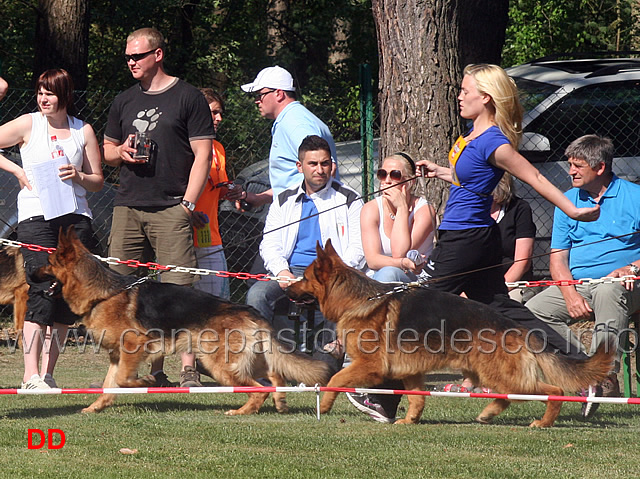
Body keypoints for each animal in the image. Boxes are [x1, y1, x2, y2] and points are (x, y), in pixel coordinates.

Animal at [40, 230, 330, 416]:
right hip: (245, 360)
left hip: (219, 365)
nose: (32, 274)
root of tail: (248, 310)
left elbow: (123, 380)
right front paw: (97, 407)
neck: (103, 293)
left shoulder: (134, 346)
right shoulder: (116, 356)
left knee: (260, 388)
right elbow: (109, 385)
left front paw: (147, 383)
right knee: (275, 376)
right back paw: (280, 402)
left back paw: (241, 411)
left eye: (48, 263)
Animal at [288, 242, 612, 430]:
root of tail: (517, 328)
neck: (357, 299)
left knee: (553, 391)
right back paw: (487, 414)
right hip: (485, 373)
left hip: (505, 376)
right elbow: (417, 398)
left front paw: (324, 405)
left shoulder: (370, 366)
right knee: (505, 397)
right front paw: (410, 420)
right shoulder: (410, 371)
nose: (286, 288)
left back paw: (544, 422)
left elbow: (336, 378)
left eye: (303, 277)